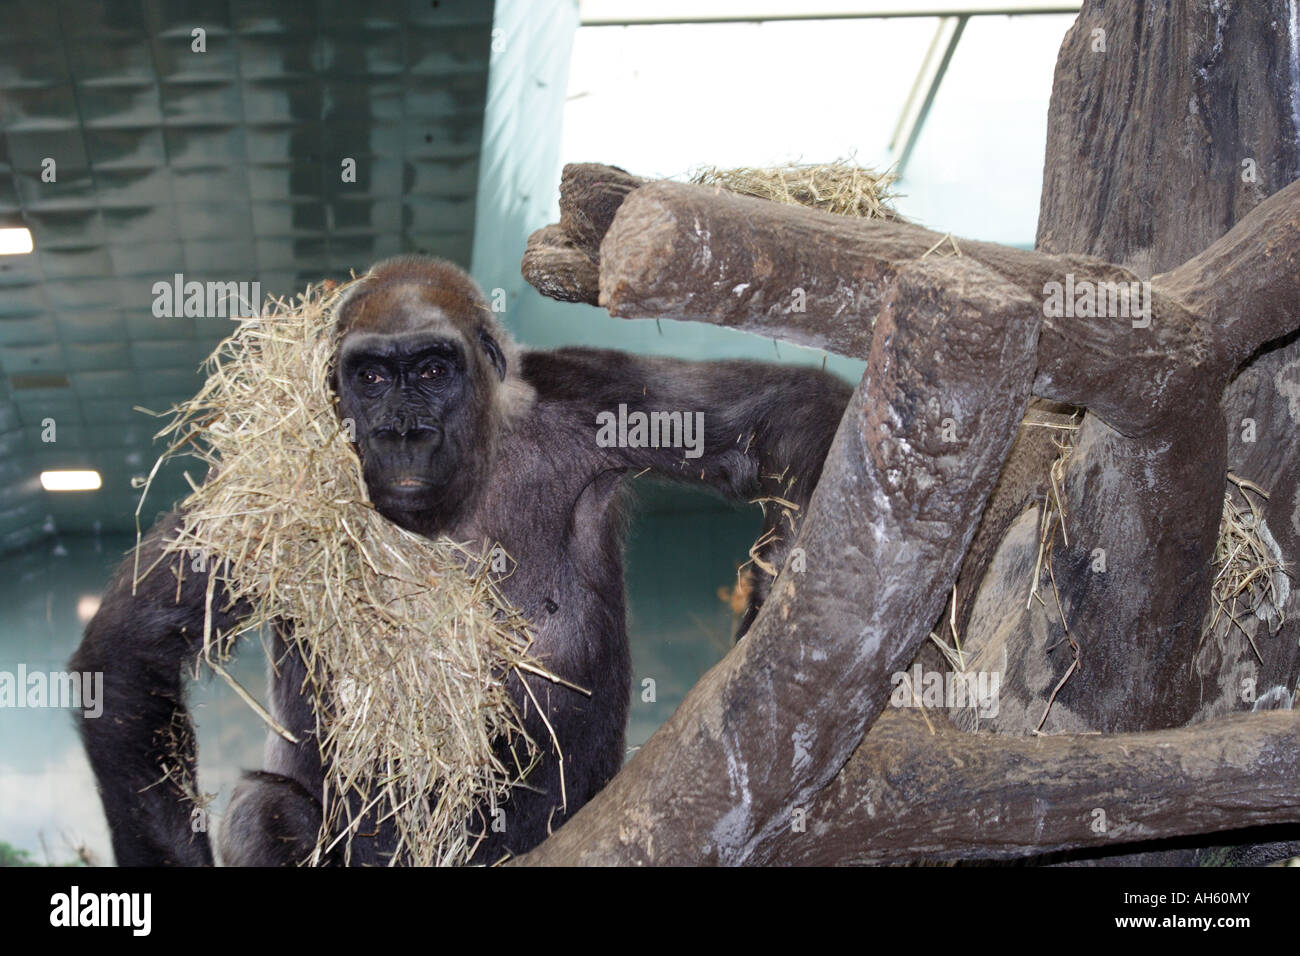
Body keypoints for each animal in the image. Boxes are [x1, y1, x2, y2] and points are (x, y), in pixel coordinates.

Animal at [70, 255, 854, 866]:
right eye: (371, 378)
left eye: (432, 368)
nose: (402, 432)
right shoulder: (265, 499)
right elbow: (129, 653)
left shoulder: (586, 394)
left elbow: (777, 414)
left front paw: (775, 584)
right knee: (260, 809)